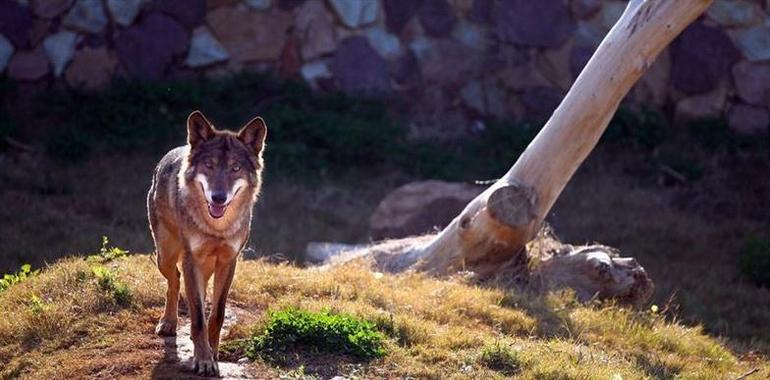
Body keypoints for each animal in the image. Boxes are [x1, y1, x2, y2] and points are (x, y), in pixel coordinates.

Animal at [147, 110, 268, 378]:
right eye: (209, 165)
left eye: (235, 168)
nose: (218, 197)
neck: (217, 228)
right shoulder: (192, 260)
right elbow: (198, 318)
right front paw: (203, 360)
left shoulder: (229, 261)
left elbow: (217, 314)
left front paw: (213, 354)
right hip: (165, 257)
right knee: (175, 280)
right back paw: (168, 323)